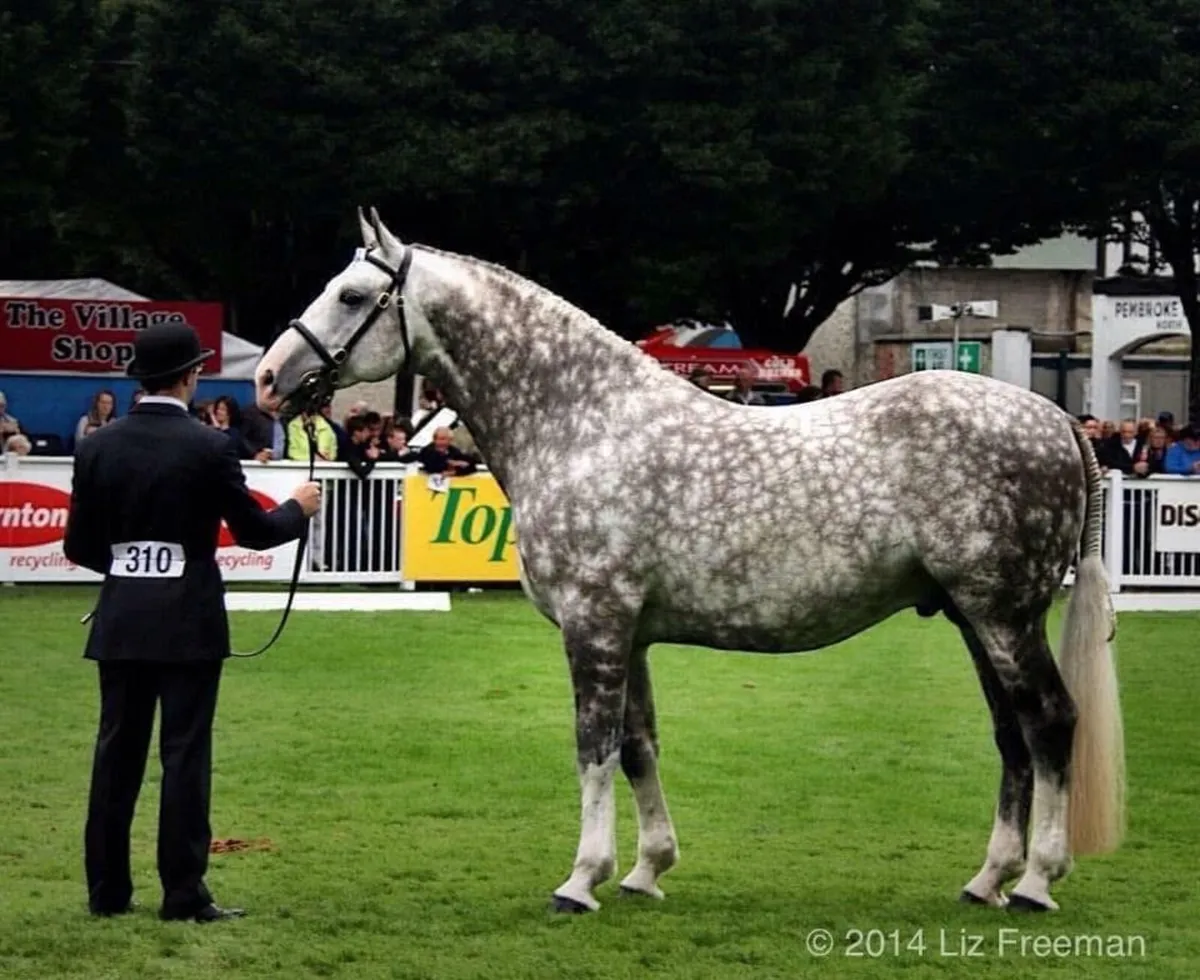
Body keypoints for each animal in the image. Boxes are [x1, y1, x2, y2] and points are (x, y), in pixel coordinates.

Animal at [255, 207, 1125, 915]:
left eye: (353, 297)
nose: (266, 378)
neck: (583, 424)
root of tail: (1057, 419)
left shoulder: (594, 625)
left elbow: (593, 747)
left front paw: (581, 880)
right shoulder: (630, 633)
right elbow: (639, 745)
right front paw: (645, 871)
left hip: (1003, 616)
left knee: (1050, 723)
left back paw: (1037, 882)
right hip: (974, 618)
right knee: (1012, 736)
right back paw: (989, 879)